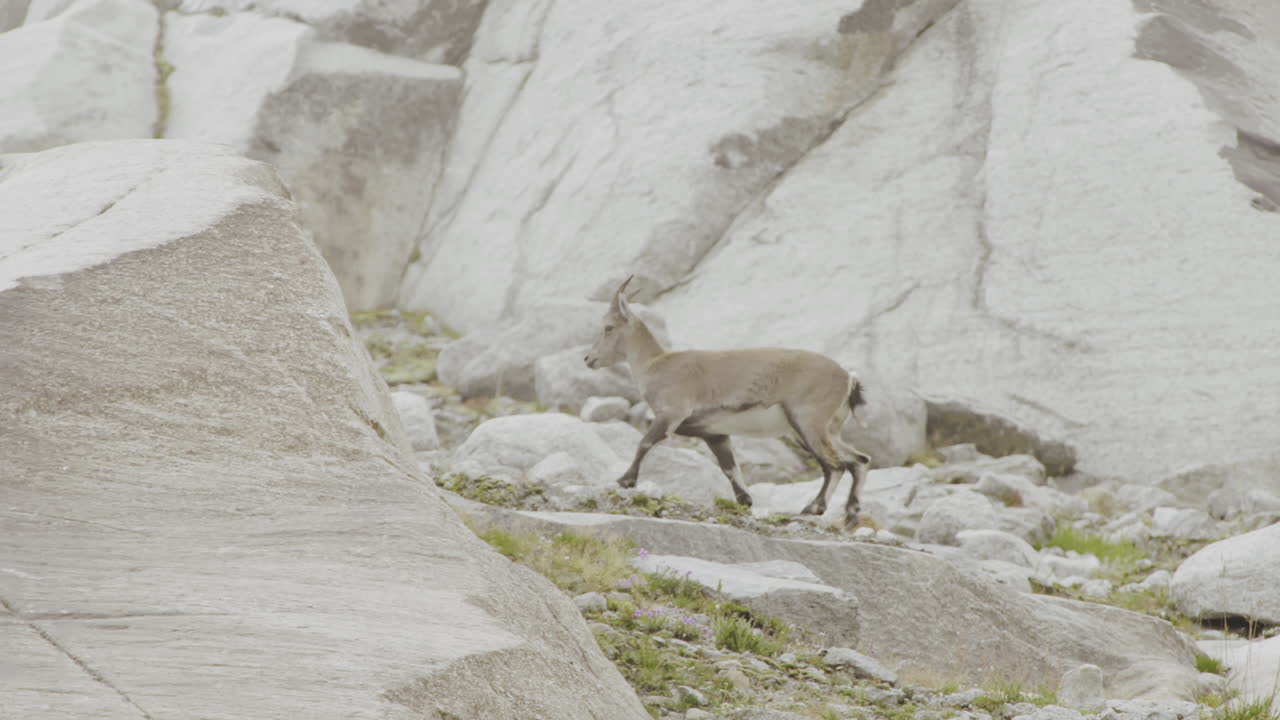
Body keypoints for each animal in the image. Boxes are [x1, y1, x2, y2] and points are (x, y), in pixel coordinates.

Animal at [584, 276, 871, 528]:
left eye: (608, 327)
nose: (588, 359)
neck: (656, 365)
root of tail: (848, 377)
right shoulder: (714, 433)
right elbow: (730, 468)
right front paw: (745, 500)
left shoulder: (671, 414)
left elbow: (644, 443)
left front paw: (625, 480)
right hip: (821, 430)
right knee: (859, 460)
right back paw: (850, 513)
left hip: (808, 422)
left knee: (836, 466)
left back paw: (814, 508)